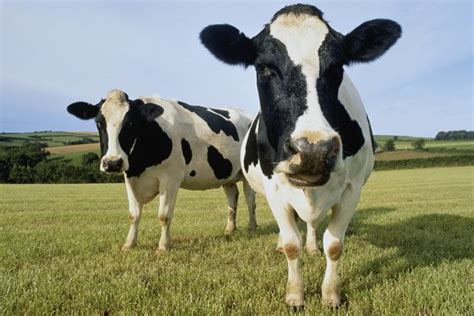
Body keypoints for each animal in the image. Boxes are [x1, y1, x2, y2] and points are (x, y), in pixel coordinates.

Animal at [66, 89, 256, 252]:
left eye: (130, 123)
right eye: (99, 122)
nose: (113, 163)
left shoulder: (170, 179)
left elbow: (164, 215)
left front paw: (163, 246)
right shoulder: (130, 178)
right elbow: (133, 215)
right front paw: (129, 244)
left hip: (248, 174)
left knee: (250, 200)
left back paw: (252, 227)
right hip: (227, 175)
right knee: (232, 198)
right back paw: (230, 229)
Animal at [200, 3, 400, 308]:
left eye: (337, 66)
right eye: (264, 68)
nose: (313, 150)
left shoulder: (352, 188)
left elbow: (334, 245)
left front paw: (331, 294)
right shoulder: (274, 186)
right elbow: (291, 245)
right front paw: (295, 295)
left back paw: (312, 246)